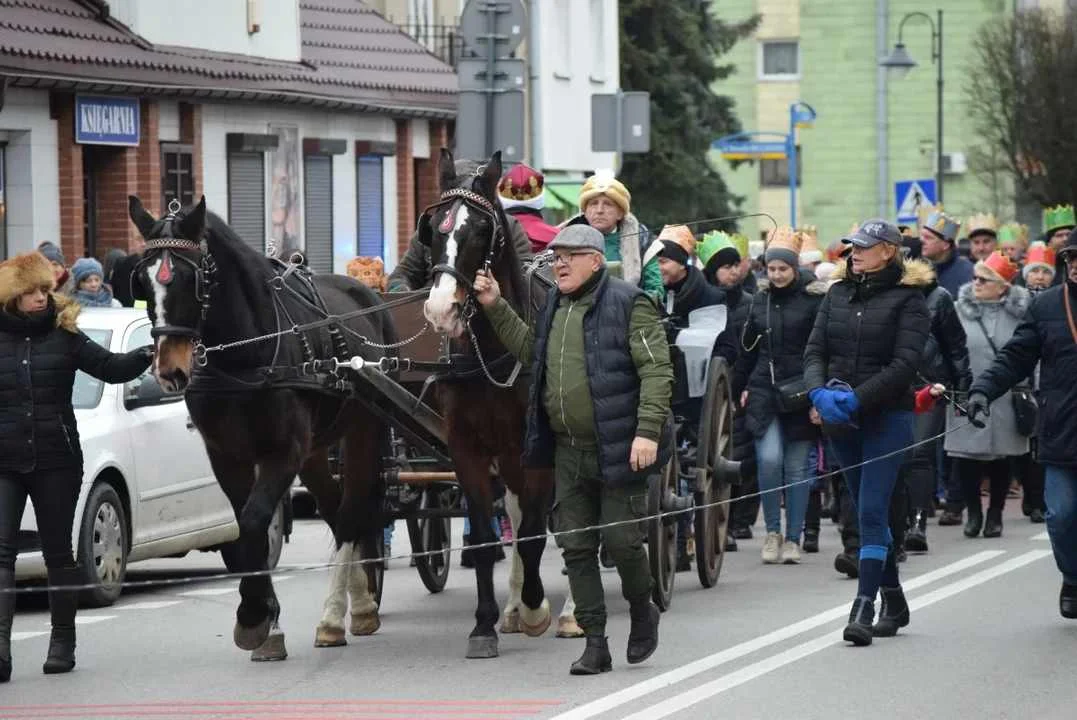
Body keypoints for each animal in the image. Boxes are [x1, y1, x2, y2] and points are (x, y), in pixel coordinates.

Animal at [128, 193, 394, 658]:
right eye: (143, 281)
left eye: (191, 278)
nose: (169, 370)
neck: (246, 355)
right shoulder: (227, 457)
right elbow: (242, 528)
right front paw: (267, 622)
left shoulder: (282, 452)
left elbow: (254, 521)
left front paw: (253, 616)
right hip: (316, 451)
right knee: (333, 508)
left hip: (363, 432)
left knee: (351, 512)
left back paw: (344, 612)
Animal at [415, 150, 555, 658]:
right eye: (434, 228)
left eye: (480, 229)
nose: (441, 309)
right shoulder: (467, 448)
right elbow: (483, 538)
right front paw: (486, 623)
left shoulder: (538, 451)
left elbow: (533, 534)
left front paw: (535, 608)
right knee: (513, 512)